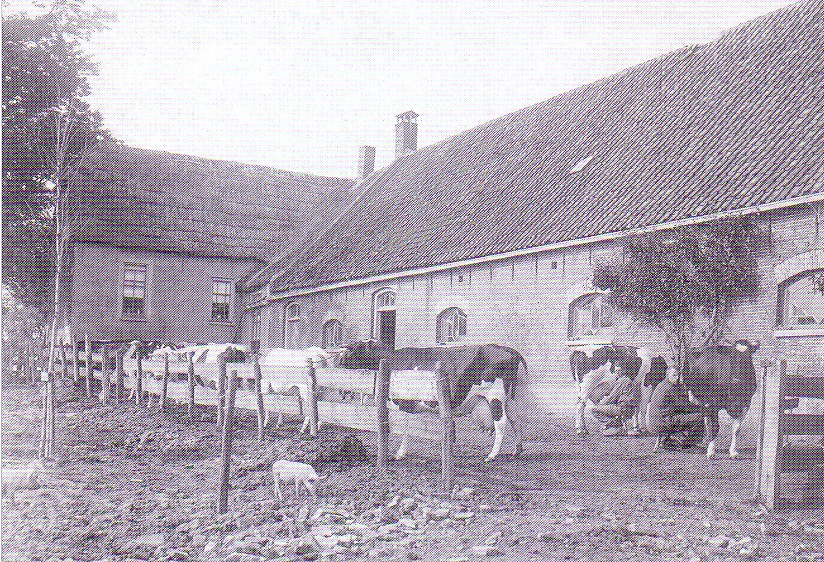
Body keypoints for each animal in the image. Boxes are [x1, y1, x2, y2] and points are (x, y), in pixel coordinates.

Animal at [338, 340, 524, 462]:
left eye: (349, 354)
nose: (341, 389)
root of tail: (506, 348)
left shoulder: (404, 403)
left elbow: (405, 427)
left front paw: (400, 453)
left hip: (496, 397)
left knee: (501, 424)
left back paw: (492, 455)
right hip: (510, 400)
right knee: (516, 421)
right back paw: (517, 450)